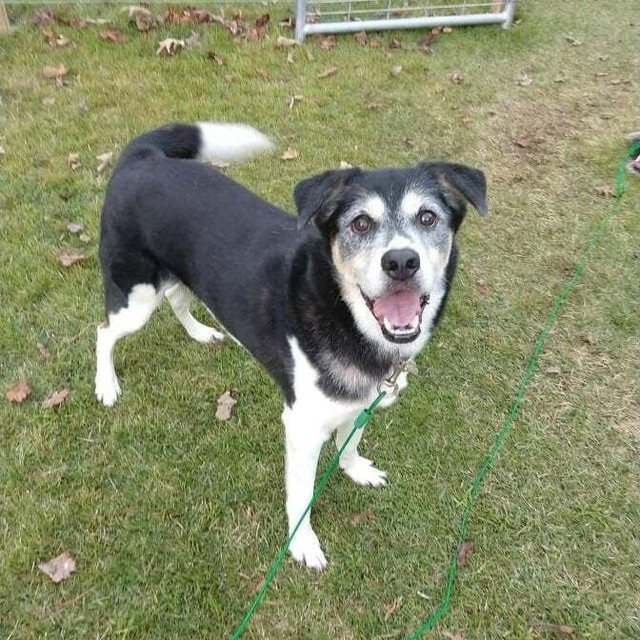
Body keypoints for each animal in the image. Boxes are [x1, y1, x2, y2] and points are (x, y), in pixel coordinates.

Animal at [94, 122, 484, 568]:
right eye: (360, 224)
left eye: (428, 217)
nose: (401, 261)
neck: (347, 319)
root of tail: (142, 157)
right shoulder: (302, 427)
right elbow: (301, 496)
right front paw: (302, 545)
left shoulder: (360, 402)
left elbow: (350, 443)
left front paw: (356, 470)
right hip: (135, 296)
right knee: (103, 332)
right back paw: (106, 385)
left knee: (177, 298)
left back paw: (200, 333)